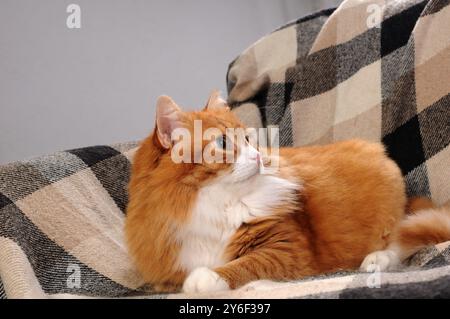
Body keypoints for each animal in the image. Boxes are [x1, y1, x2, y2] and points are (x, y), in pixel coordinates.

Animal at [125, 91, 450, 294]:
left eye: (247, 139)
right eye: (222, 143)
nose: (258, 156)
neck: (213, 204)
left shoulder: (285, 248)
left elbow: (244, 265)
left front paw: (207, 278)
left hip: (390, 217)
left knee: (400, 240)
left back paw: (374, 261)